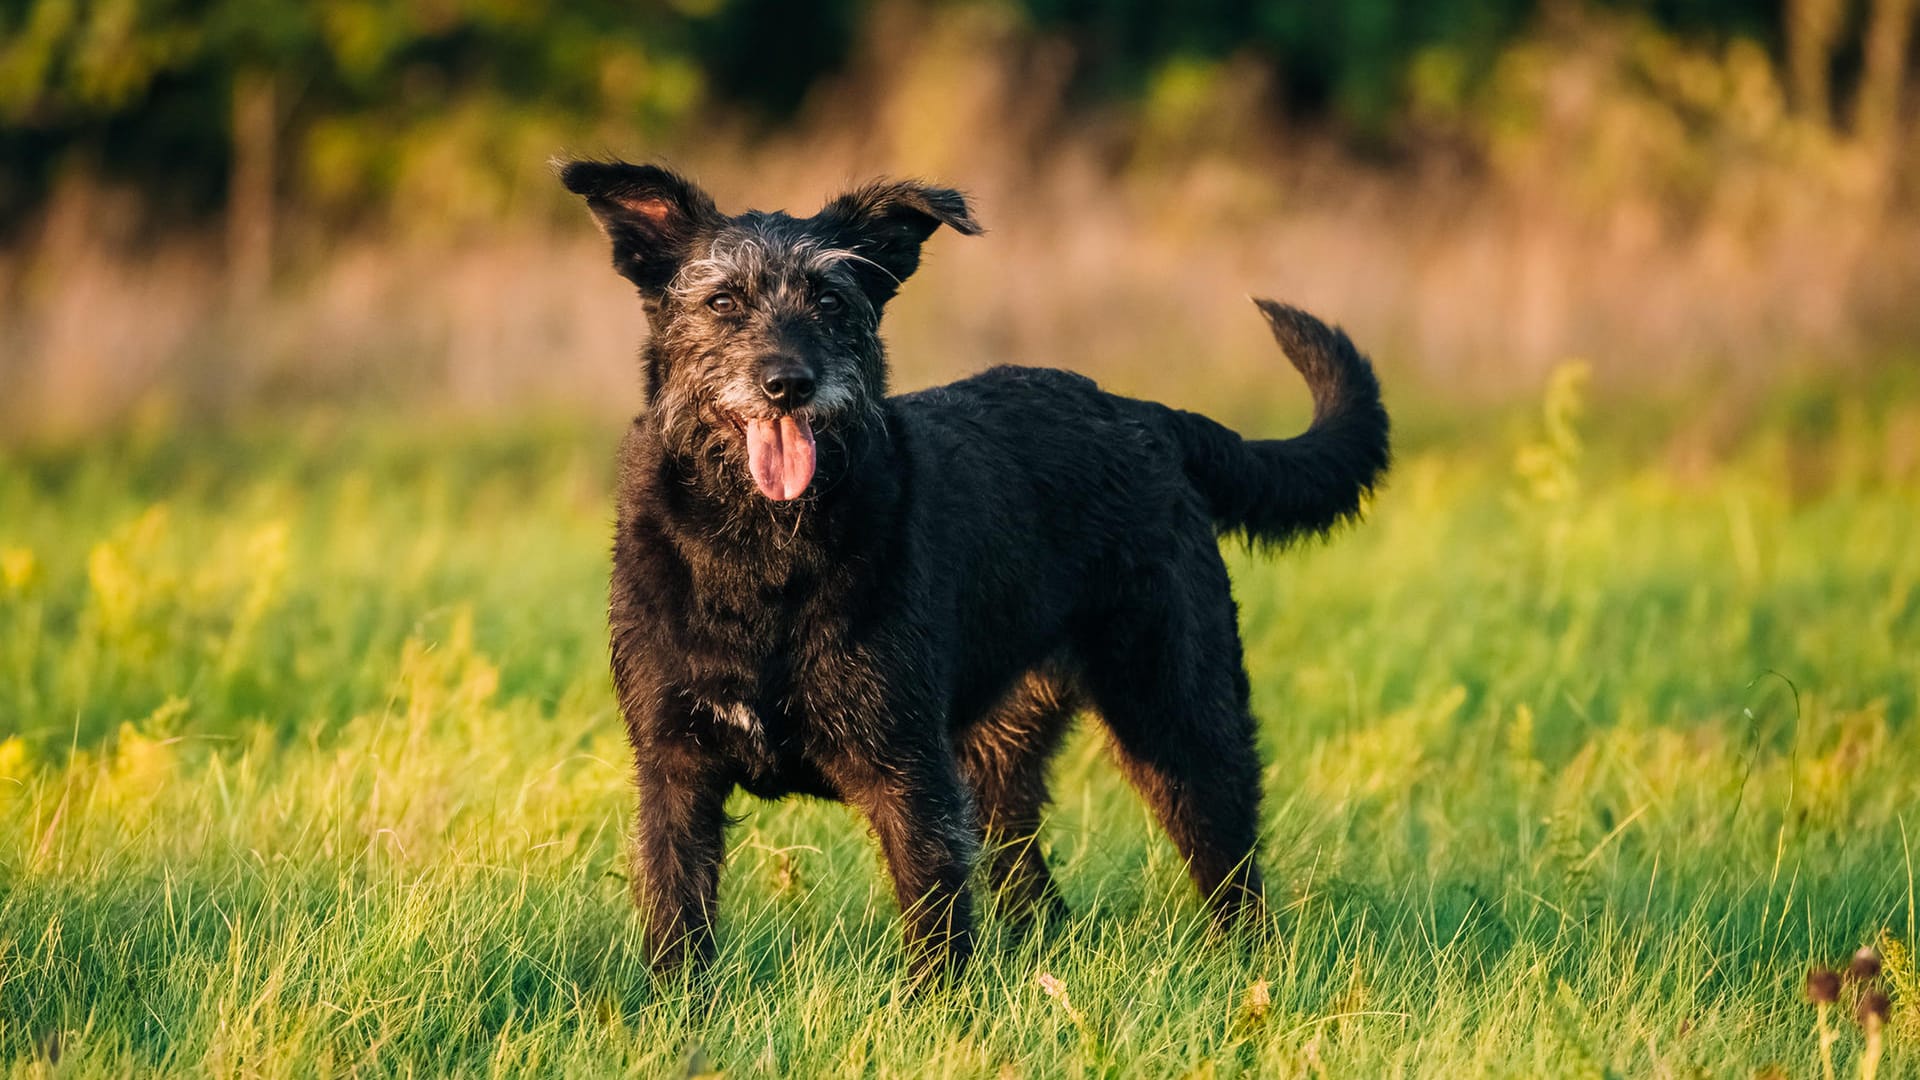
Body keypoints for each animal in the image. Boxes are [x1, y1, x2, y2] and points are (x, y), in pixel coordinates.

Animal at [560, 157, 1397, 976]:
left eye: (832, 300)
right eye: (723, 299)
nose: (788, 383)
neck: (763, 552)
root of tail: (1146, 414)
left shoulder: (910, 773)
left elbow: (935, 925)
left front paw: (936, 1011)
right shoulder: (675, 771)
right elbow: (678, 926)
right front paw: (677, 1011)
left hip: (1180, 715)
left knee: (1230, 868)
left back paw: (1249, 975)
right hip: (1002, 752)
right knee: (1031, 880)